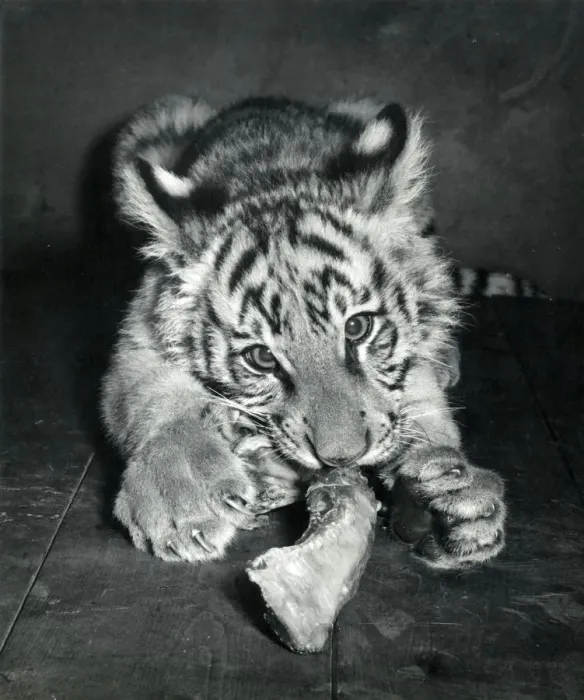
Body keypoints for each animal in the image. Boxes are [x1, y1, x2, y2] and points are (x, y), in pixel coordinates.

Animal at [100, 94, 534, 569]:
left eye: (358, 327)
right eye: (261, 358)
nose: (341, 458)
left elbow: (422, 401)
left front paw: (451, 497)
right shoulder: (138, 339)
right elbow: (157, 399)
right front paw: (182, 497)